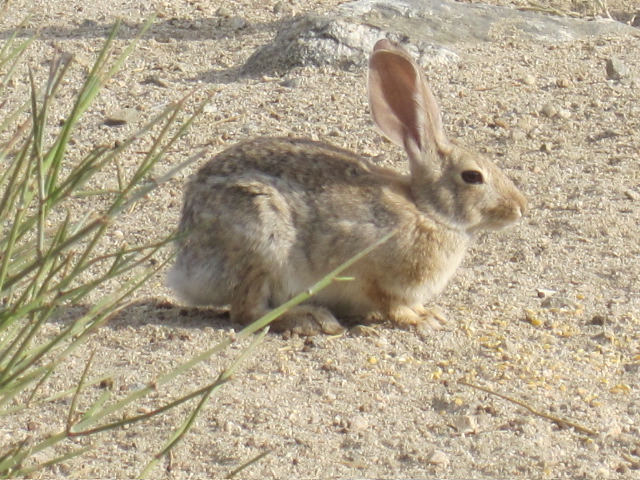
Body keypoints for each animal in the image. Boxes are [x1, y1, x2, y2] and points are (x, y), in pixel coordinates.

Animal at [167, 38, 527, 335]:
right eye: (473, 176)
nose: (520, 208)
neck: (427, 211)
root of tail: (185, 267)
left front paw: (431, 314)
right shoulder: (376, 275)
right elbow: (392, 306)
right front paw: (421, 322)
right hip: (260, 238)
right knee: (247, 312)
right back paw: (310, 320)